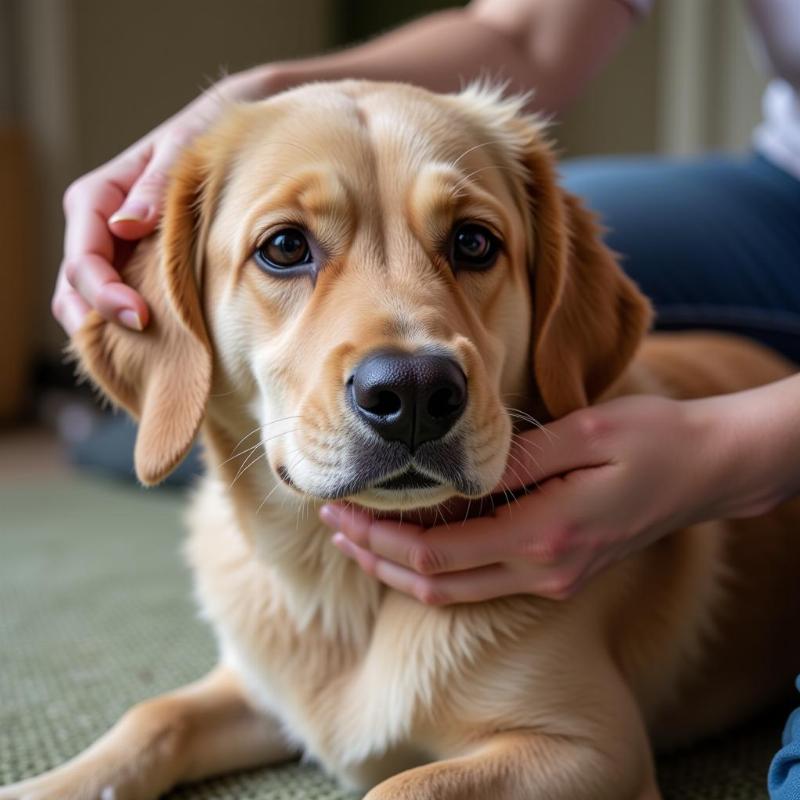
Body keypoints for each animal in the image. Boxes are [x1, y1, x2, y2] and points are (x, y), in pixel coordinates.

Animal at [3, 81, 796, 800]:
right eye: (284, 246)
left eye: (474, 242)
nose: (414, 393)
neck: (343, 590)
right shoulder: (255, 690)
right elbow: (153, 717)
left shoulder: (592, 746)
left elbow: (400, 786)